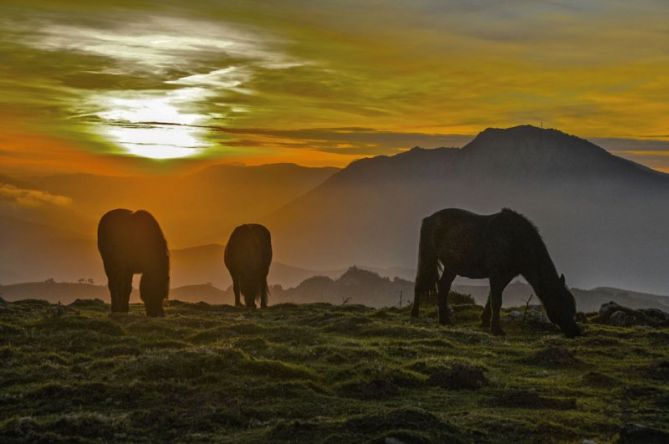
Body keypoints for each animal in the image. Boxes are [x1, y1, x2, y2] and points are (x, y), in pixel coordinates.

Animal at [410, 208, 576, 336]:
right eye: (561, 303)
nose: (575, 331)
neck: (515, 239)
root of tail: (428, 219)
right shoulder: (496, 274)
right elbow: (496, 301)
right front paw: (496, 329)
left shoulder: (505, 276)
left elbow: (492, 298)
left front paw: (485, 321)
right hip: (428, 258)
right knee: (419, 283)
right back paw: (414, 314)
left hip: (451, 267)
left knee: (443, 287)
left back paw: (444, 320)